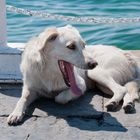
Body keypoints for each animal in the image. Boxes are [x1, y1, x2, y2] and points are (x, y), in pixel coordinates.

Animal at [7, 25, 140, 124]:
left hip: (96, 74)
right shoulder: (30, 88)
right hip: (102, 85)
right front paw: (16, 114)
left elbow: (59, 98)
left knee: (121, 89)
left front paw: (55, 96)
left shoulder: (80, 85)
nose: (94, 63)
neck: (49, 72)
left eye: (84, 45)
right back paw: (127, 104)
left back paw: (115, 103)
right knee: (125, 90)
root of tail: (126, 54)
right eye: (71, 46)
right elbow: (22, 99)